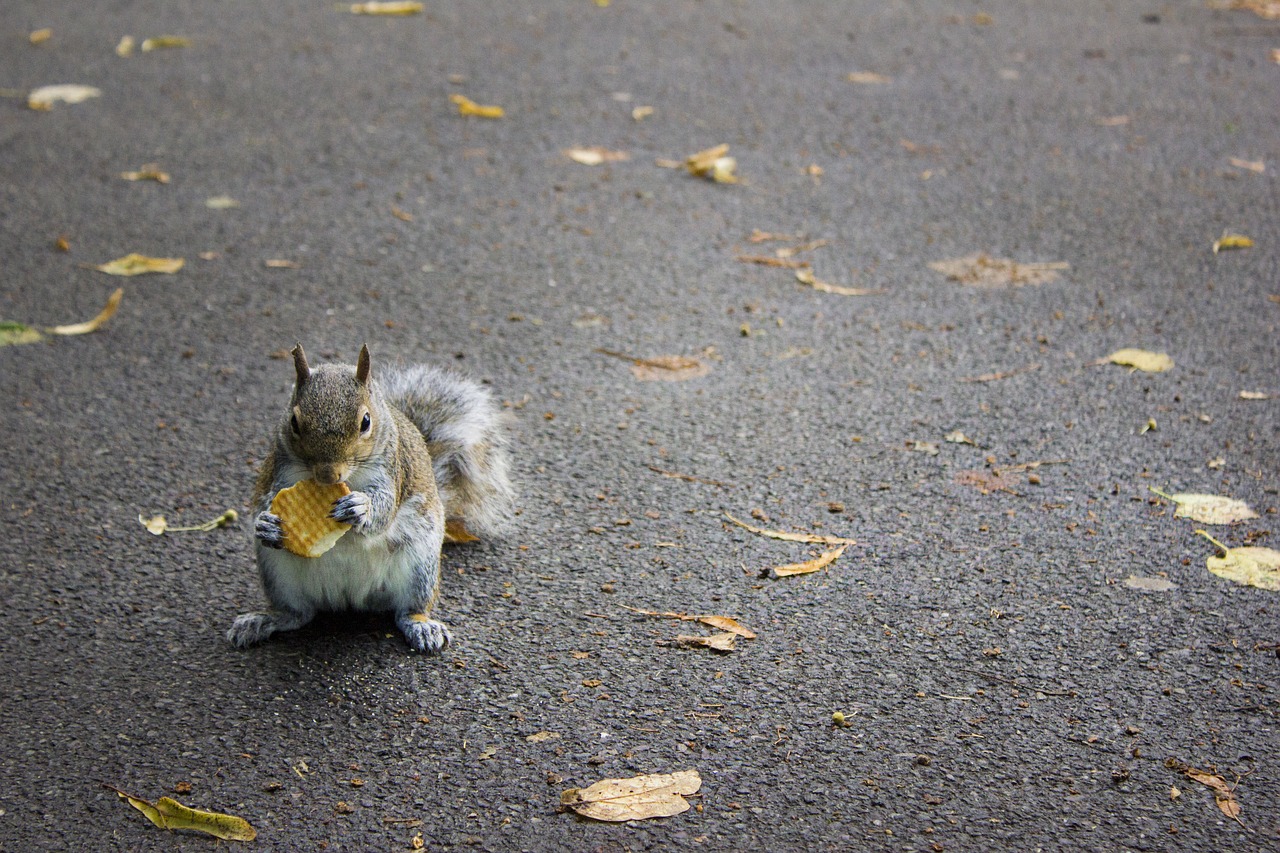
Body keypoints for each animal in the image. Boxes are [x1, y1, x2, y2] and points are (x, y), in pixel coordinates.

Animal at [227, 343, 512, 648]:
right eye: (293, 421)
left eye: (366, 422)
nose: (328, 475)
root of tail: (350, 598)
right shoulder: (280, 473)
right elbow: (269, 498)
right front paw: (266, 524)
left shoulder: (392, 470)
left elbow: (385, 508)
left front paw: (361, 508)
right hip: (277, 574)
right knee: (296, 614)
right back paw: (263, 620)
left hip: (420, 569)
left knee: (407, 610)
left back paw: (422, 626)